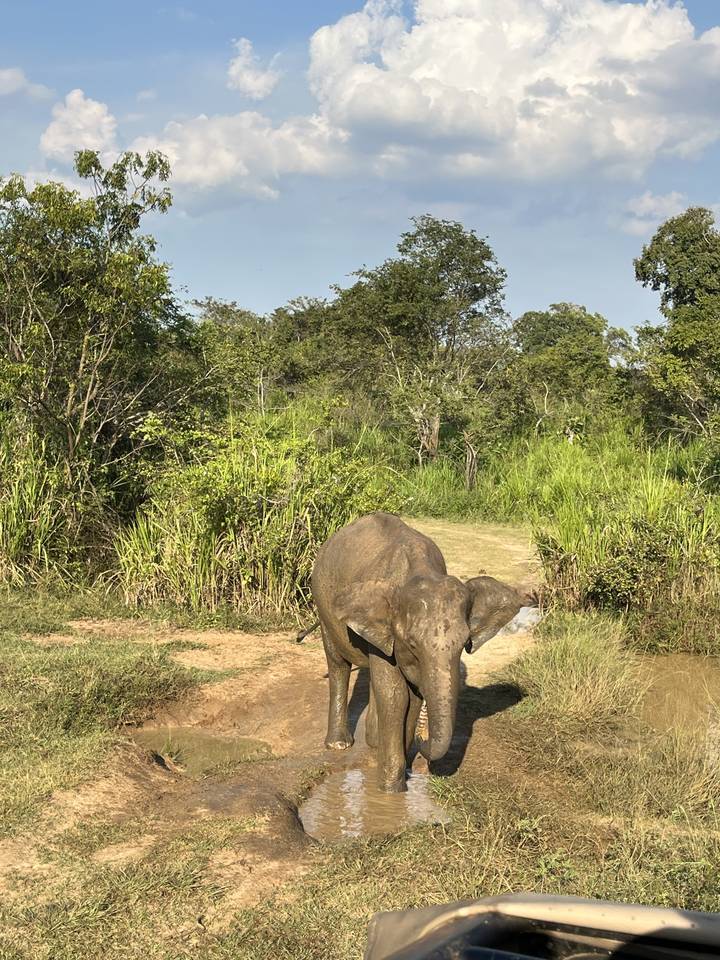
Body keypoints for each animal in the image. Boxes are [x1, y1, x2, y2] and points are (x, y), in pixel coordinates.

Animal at [311, 512, 532, 793]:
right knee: (338, 664)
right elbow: (395, 695)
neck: (419, 570)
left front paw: (403, 767)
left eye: (464, 644)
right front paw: (391, 792)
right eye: (412, 644)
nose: (423, 743)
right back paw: (339, 744)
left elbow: (412, 696)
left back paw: (373, 741)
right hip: (322, 603)